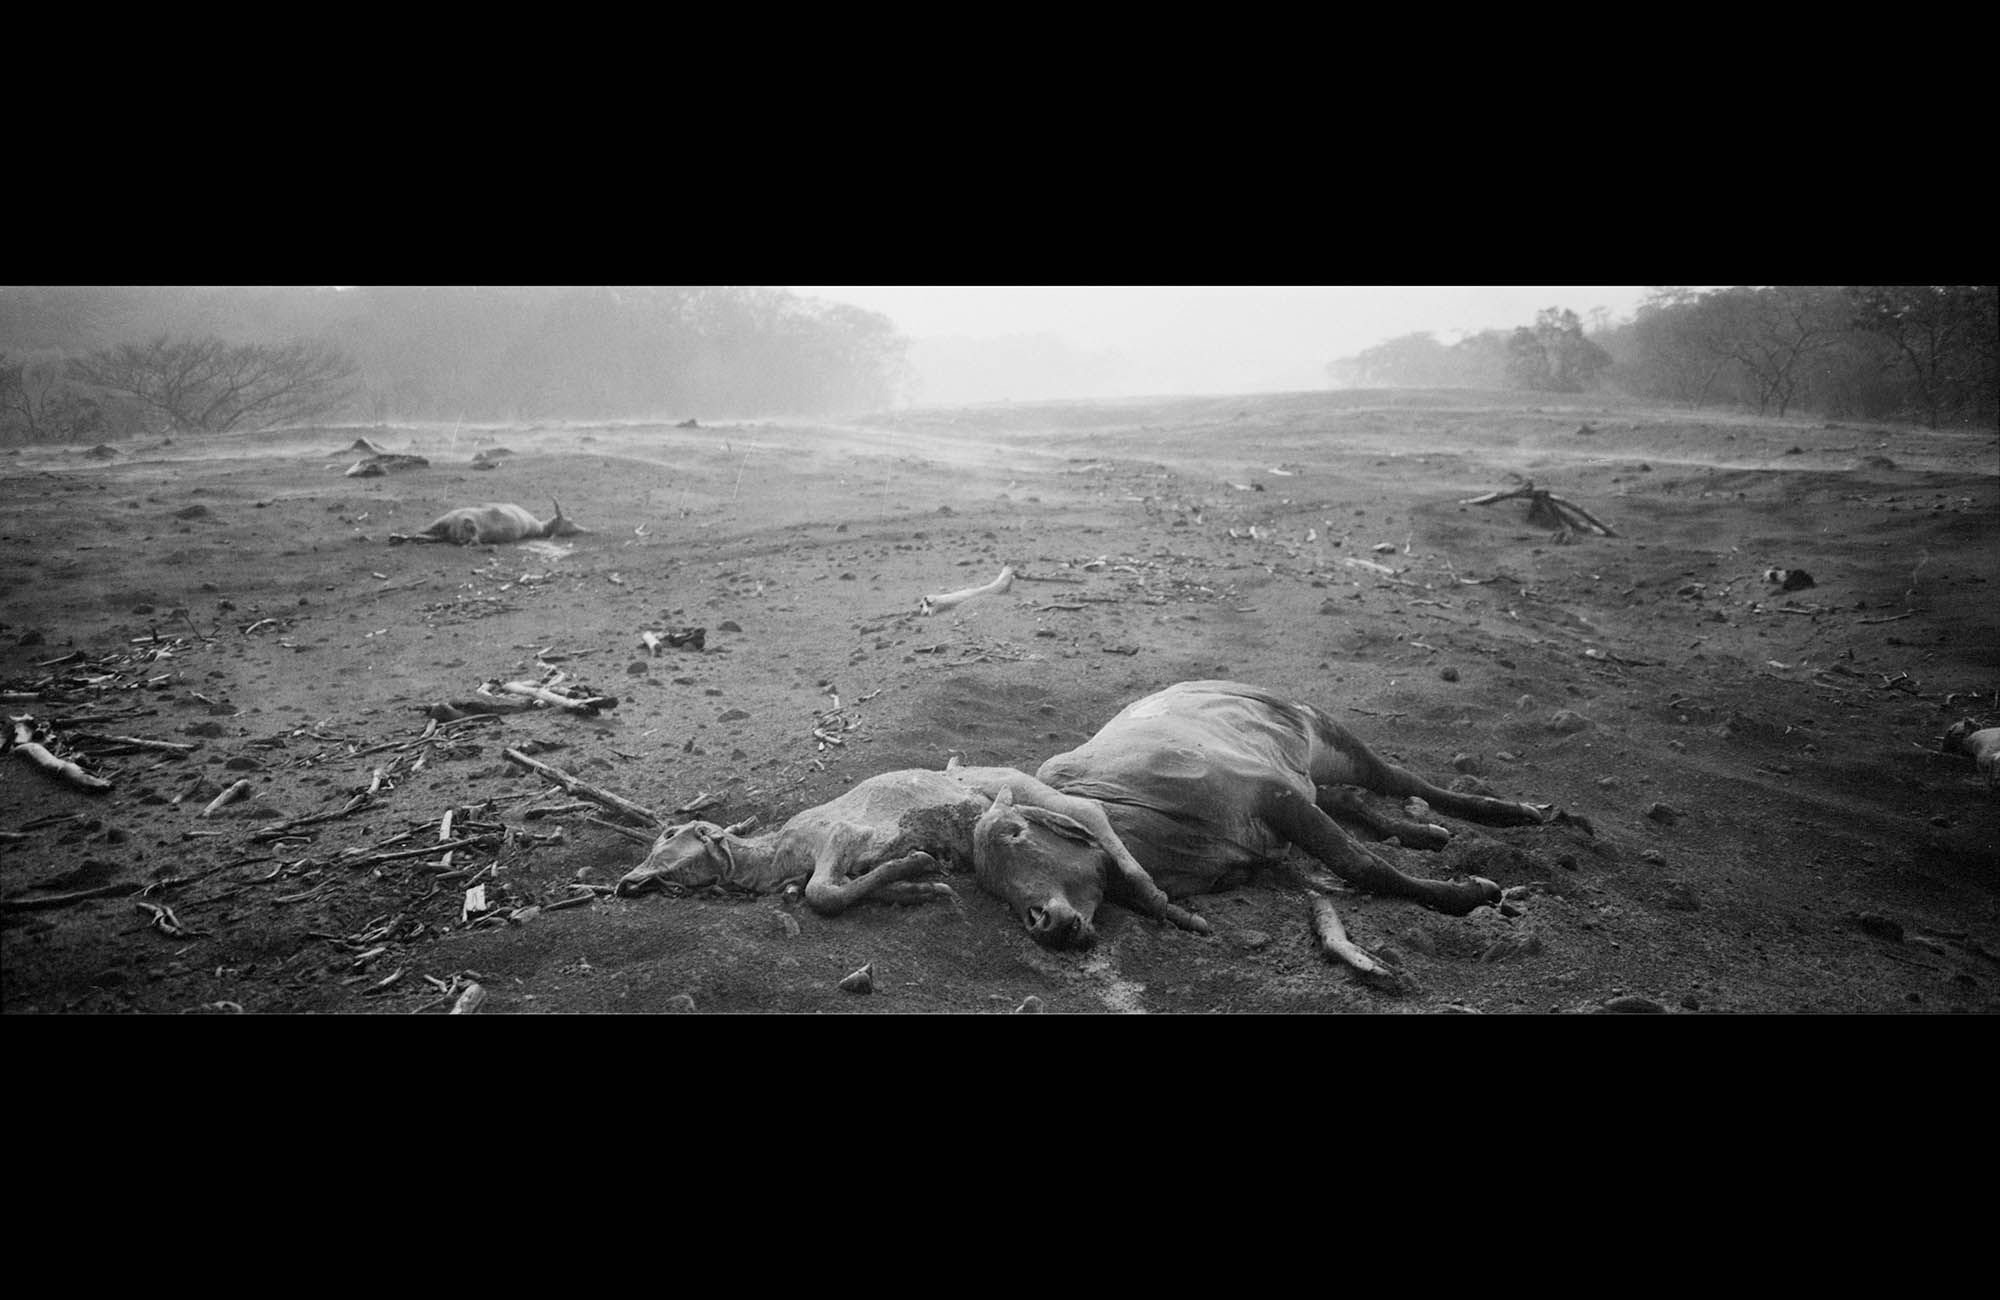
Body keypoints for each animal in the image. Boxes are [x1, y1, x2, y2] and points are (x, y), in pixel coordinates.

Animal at [976, 680, 1584, 940]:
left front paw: (1468, 893)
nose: (1042, 922)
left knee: (1398, 779)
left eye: (1015, 835)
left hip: (1328, 736)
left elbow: (1362, 864)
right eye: (987, 881)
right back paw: (1424, 834)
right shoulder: (1277, 828)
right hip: (1312, 771)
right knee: (1348, 799)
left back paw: (1513, 812)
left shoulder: (1274, 794)